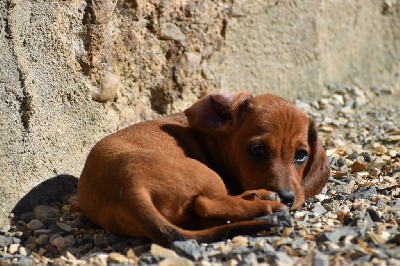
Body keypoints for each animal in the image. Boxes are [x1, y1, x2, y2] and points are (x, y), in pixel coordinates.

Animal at [77, 92, 328, 247]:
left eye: (301, 155)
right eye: (256, 150)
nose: (287, 198)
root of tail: (129, 188)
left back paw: (258, 197)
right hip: (206, 174)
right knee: (206, 204)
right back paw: (268, 204)